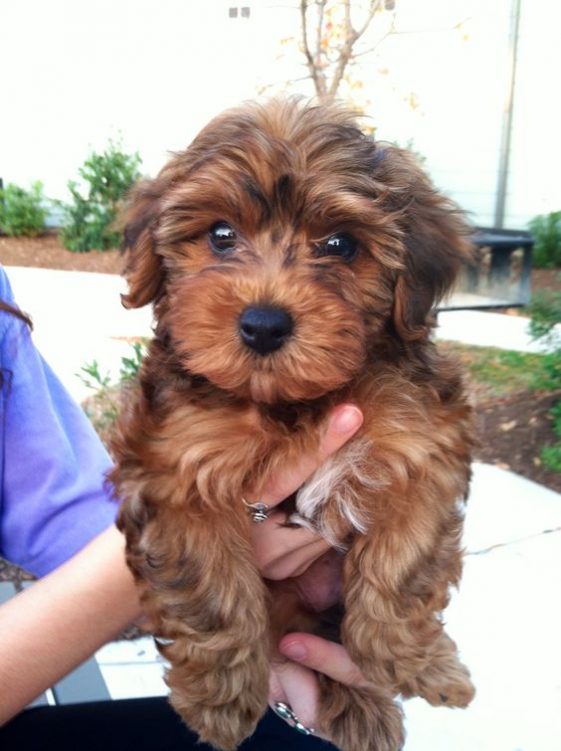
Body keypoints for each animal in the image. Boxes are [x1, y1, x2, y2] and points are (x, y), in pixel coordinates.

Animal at [110, 100, 476, 751]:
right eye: (221, 235)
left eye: (341, 244)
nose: (263, 323)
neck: (291, 403)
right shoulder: (177, 463)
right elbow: (212, 590)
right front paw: (221, 699)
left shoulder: (420, 443)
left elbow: (402, 566)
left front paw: (417, 662)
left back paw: (362, 705)